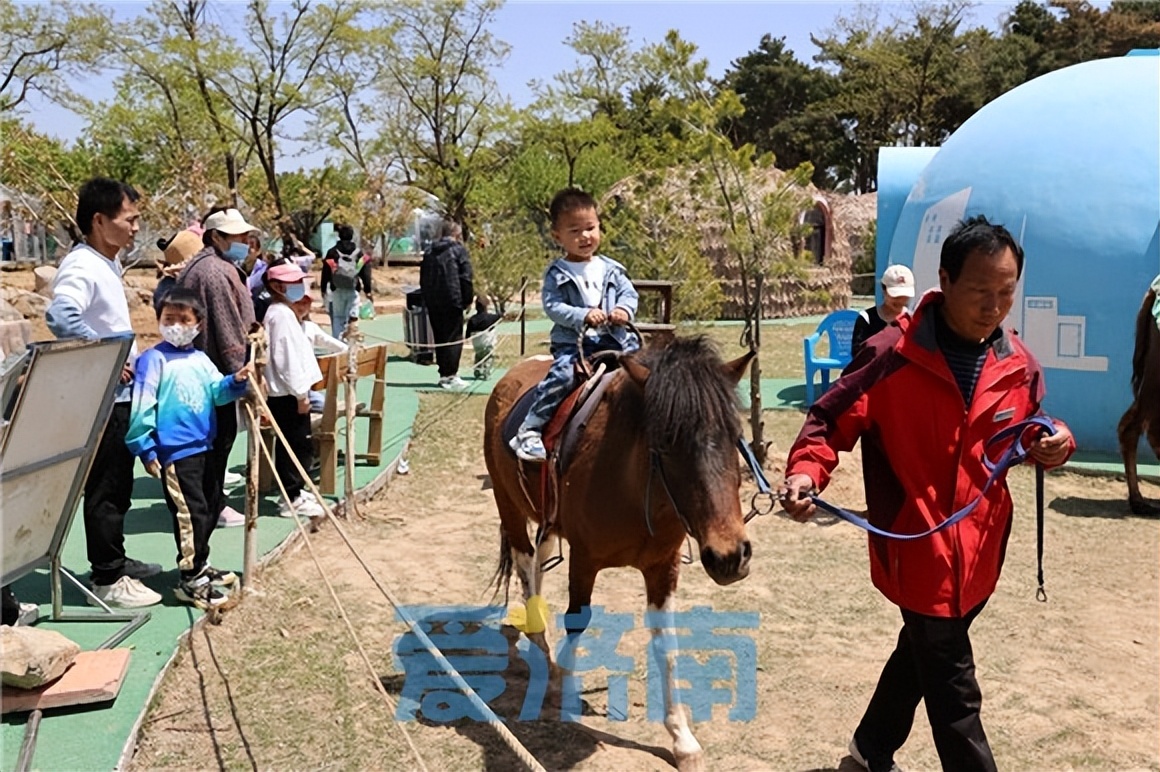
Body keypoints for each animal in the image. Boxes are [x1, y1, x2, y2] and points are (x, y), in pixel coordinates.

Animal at [483, 336, 754, 771]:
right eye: (666, 442)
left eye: (735, 436)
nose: (730, 556)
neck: (636, 485)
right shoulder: (584, 559)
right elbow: (577, 621)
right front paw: (563, 696)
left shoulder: (662, 567)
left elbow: (667, 644)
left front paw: (682, 738)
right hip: (508, 504)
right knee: (525, 564)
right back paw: (541, 647)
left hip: (547, 518)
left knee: (539, 560)